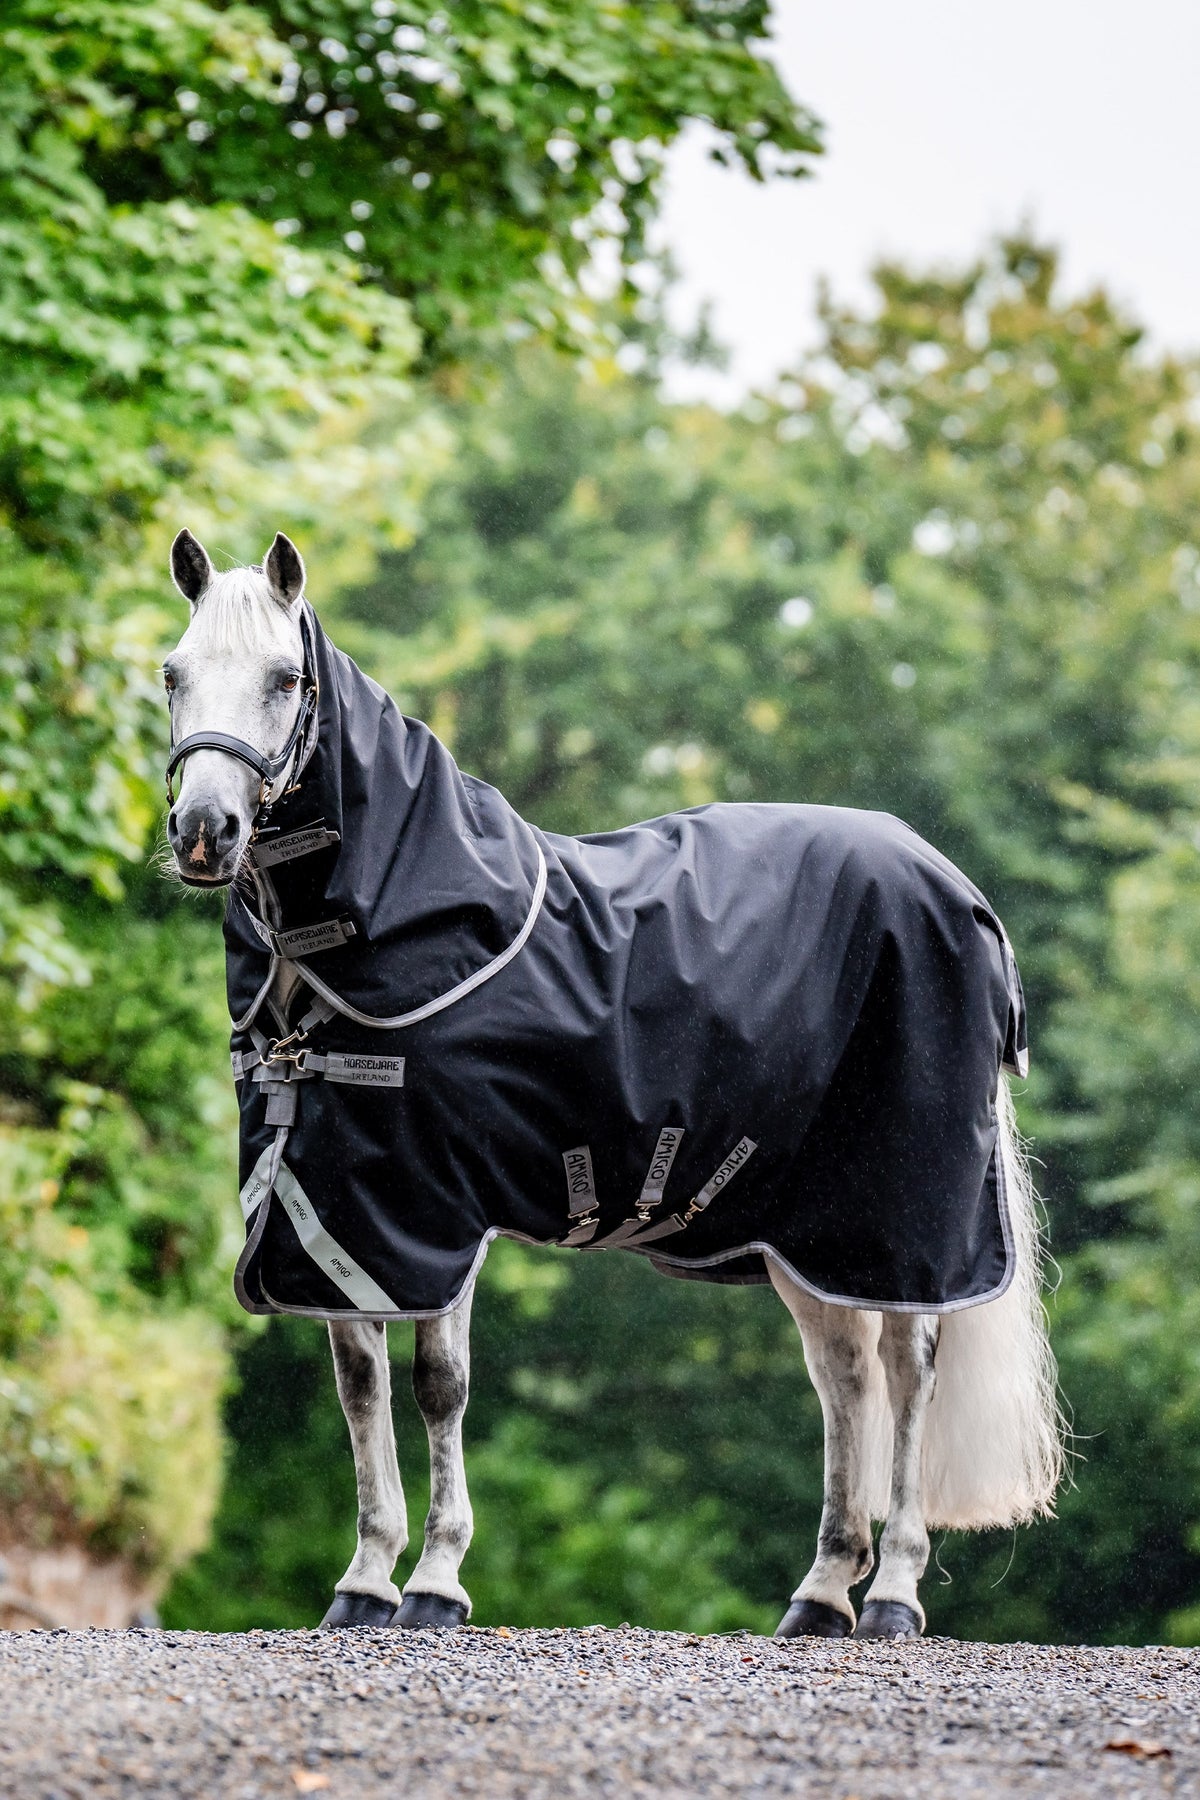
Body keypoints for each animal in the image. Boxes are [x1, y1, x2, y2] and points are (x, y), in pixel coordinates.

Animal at [161, 527, 1063, 1639]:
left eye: (285, 679)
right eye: (173, 674)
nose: (204, 832)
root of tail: (957, 889)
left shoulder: (436, 1208)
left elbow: (439, 1384)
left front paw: (435, 1583)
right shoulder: (342, 1209)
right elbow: (360, 1387)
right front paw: (363, 1581)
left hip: (907, 1212)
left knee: (909, 1367)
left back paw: (891, 1593)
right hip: (817, 1230)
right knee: (846, 1375)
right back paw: (819, 1595)